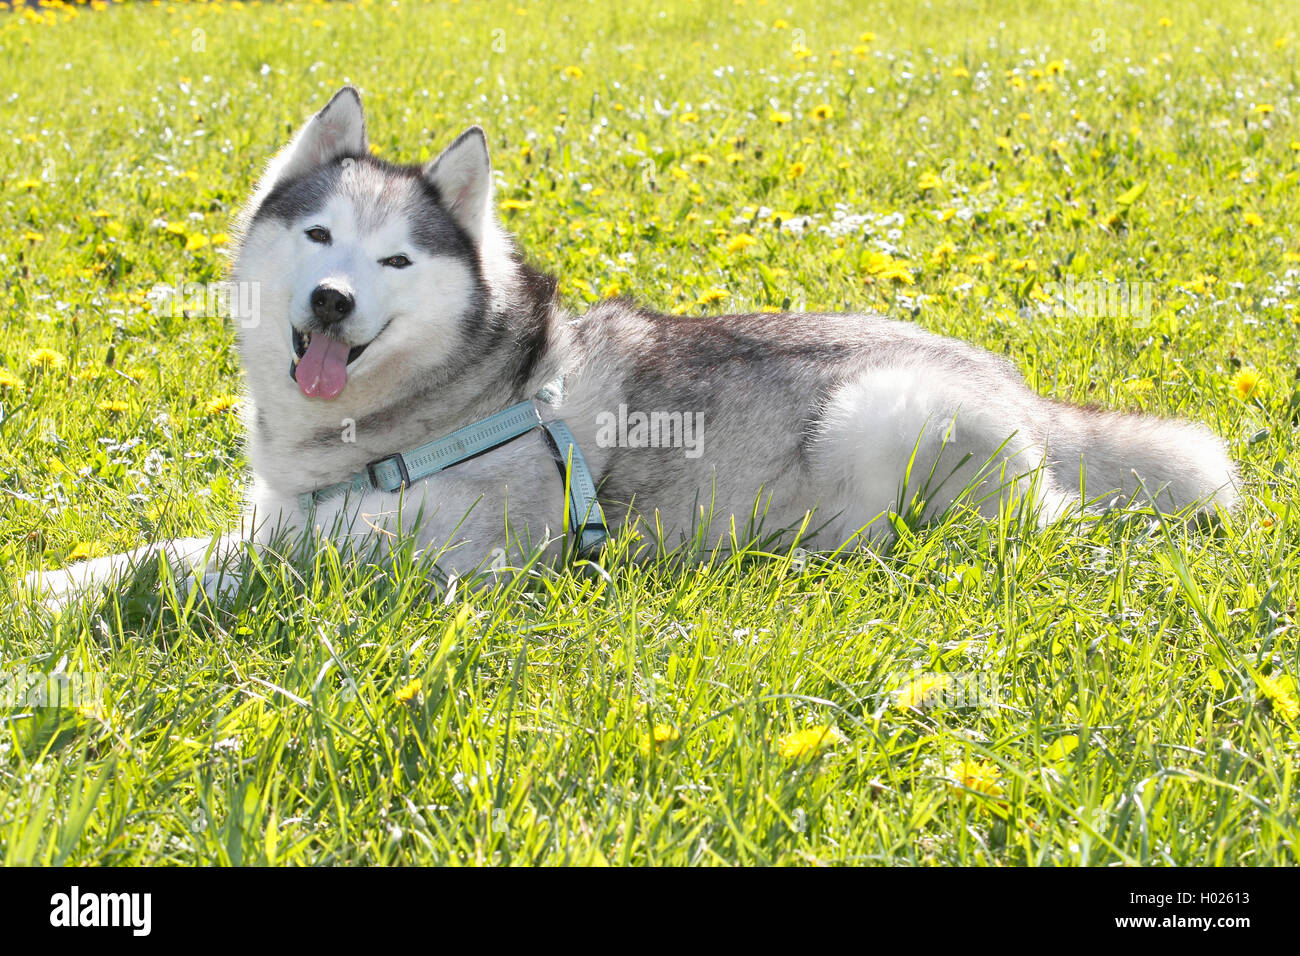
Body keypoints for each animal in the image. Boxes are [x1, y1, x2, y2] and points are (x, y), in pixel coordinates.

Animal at [20, 85, 1237, 600]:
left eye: (397, 262)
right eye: (319, 236)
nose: (327, 302)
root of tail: (1024, 387)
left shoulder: (424, 559)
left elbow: (221, 568)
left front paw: (72, 600)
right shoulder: (289, 515)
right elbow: (184, 547)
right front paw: (69, 579)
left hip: (884, 418)